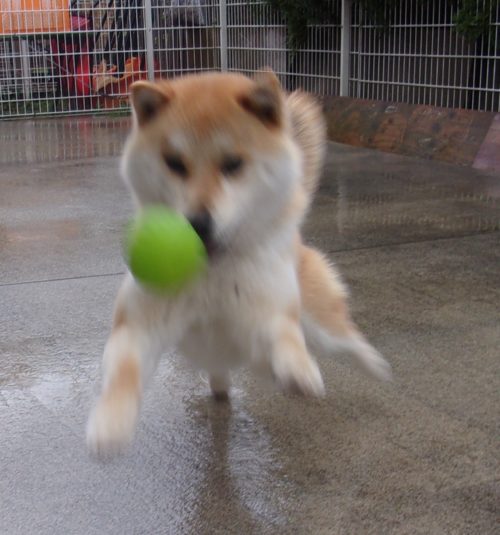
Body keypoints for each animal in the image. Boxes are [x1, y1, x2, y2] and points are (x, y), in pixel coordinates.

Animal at [86, 70, 391, 455]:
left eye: (233, 164)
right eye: (174, 163)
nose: (197, 225)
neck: (212, 274)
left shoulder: (270, 311)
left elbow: (285, 335)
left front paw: (299, 368)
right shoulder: (137, 322)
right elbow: (124, 371)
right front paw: (111, 422)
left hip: (320, 324)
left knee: (345, 339)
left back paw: (373, 366)